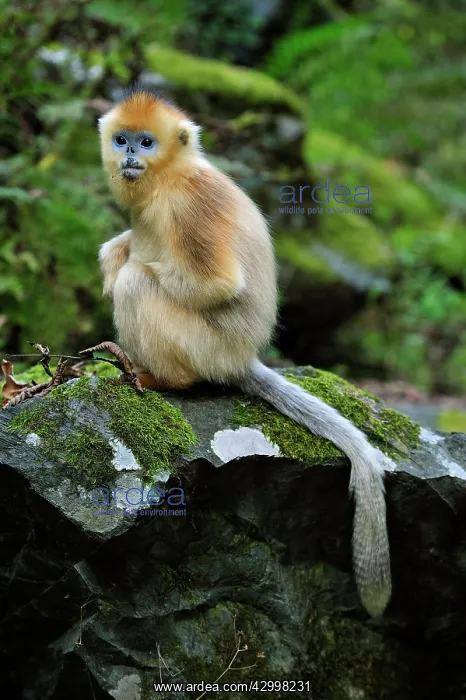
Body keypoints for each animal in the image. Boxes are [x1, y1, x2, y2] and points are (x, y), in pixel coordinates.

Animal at [98, 89, 391, 617]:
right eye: (122, 139)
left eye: (146, 142)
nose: (129, 156)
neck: (169, 179)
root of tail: (242, 358)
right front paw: (116, 249)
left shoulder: (191, 206)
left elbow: (216, 285)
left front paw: (126, 257)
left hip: (205, 347)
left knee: (137, 284)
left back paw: (158, 378)